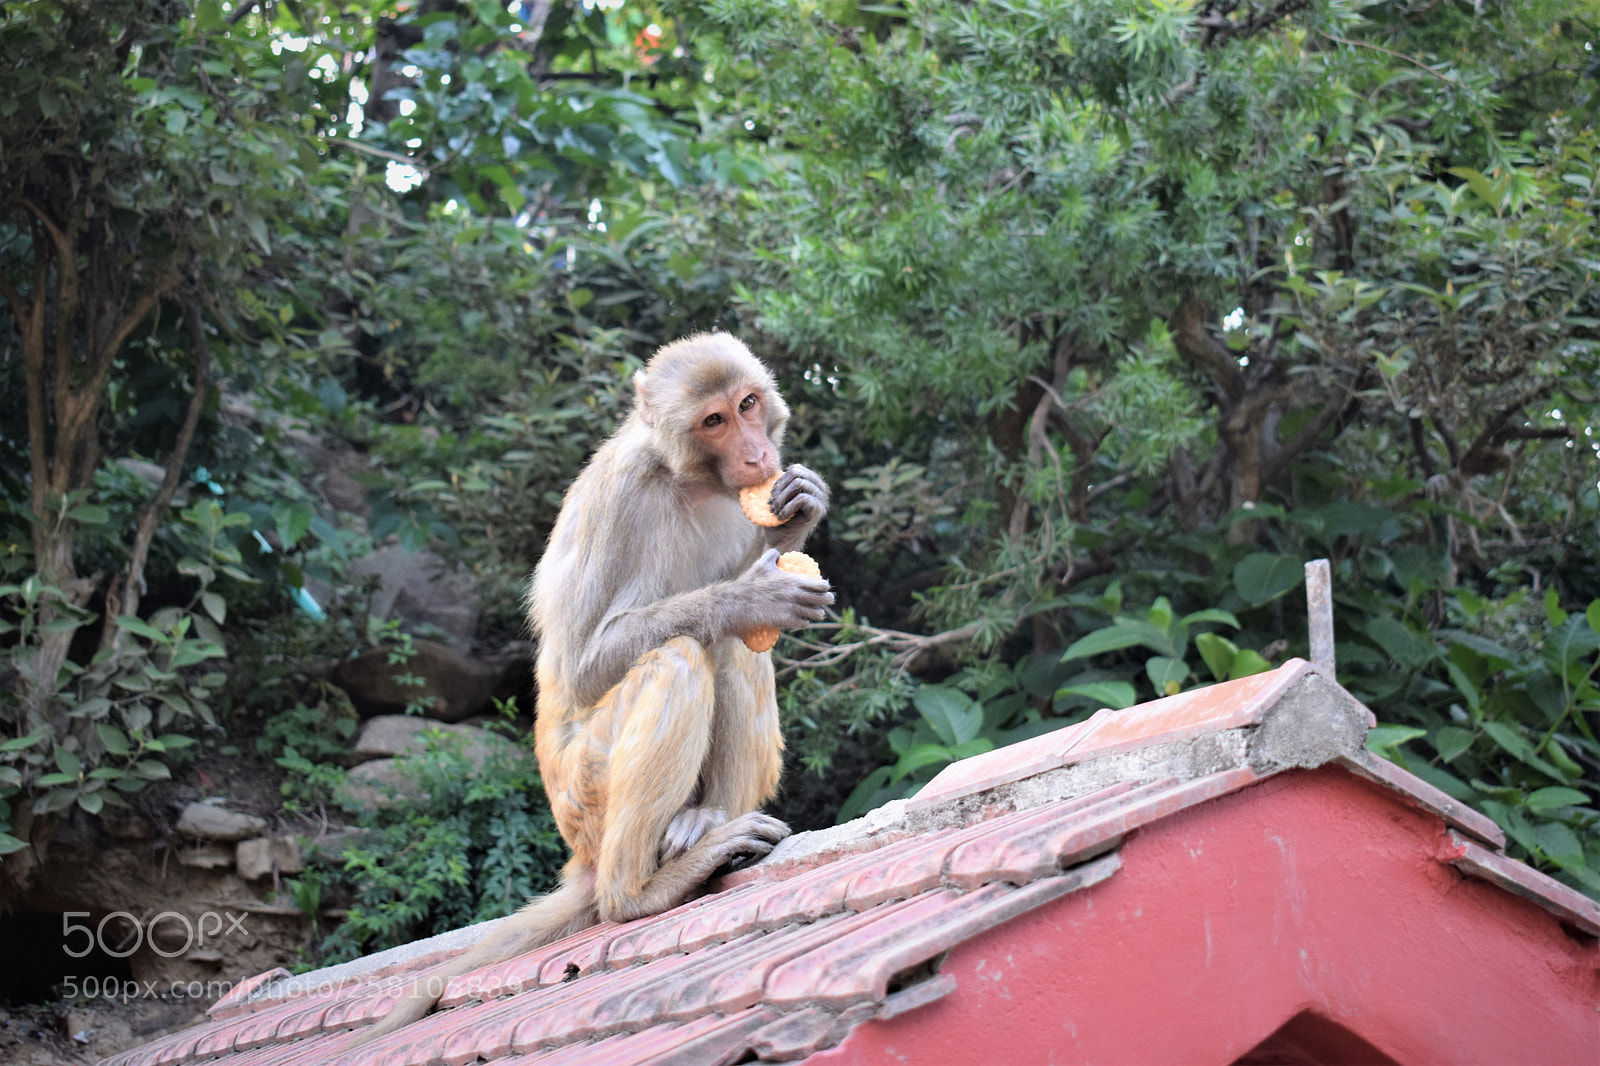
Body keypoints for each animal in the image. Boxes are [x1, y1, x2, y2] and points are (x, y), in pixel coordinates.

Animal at [355, 332, 831, 1044]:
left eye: (748, 405)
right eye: (714, 421)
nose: (757, 454)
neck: (687, 480)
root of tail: (582, 854)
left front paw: (796, 512)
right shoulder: (627, 497)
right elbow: (586, 662)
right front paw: (753, 596)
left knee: (733, 654)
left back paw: (704, 821)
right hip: (586, 793)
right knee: (682, 657)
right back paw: (638, 893)